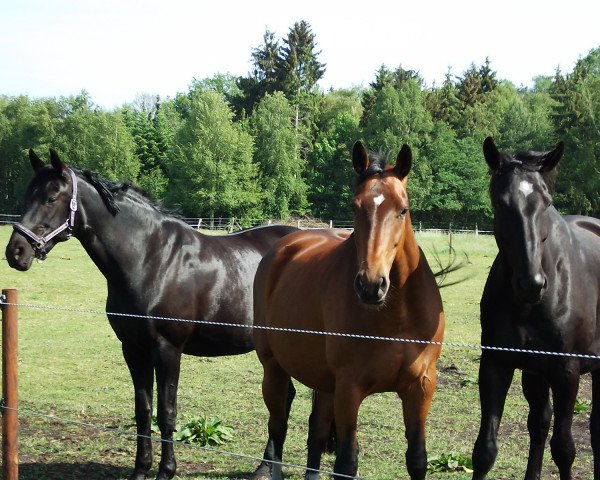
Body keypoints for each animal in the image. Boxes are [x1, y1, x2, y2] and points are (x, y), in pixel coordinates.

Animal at [2, 149, 298, 480]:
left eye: (52, 197)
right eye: (28, 196)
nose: (16, 252)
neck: (151, 258)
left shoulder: (168, 349)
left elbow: (166, 412)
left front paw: (166, 470)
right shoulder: (133, 348)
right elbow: (143, 411)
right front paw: (141, 469)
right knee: (284, 397)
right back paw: (266, 467)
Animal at [251, 141, 442, 478]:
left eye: (402, 210)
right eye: (355, 207)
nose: (371, 285)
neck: (397, 316)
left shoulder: (421, 386)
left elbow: (417, 458)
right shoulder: (350, 388)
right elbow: (346, 461)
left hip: (326, 383)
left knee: (315, 432)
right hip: (274, 368)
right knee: (278, 423)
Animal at [472, 137, 600, 478]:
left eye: (546, 202)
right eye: (500, 203)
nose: (531, 283)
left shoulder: (567, 371)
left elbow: (565, 449)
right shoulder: (496, 364)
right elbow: (484, 451)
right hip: (535, 373)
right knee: (539, 424)